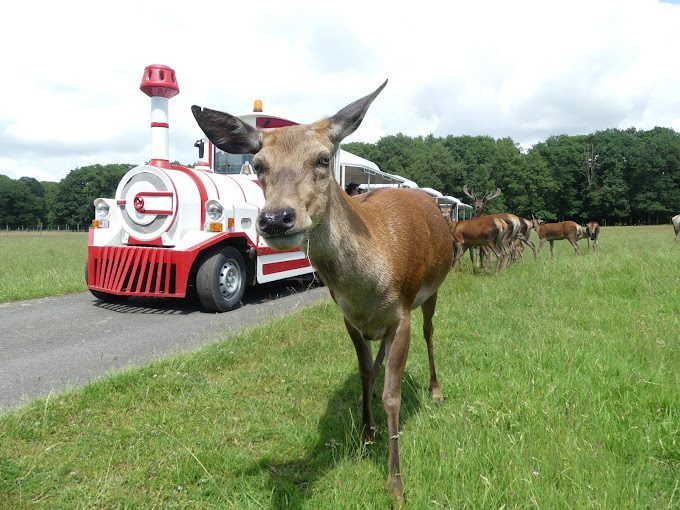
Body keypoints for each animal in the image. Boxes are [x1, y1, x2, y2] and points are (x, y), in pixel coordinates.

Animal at [190, 81, 452, 504]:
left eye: (323, 159)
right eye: (258, 165)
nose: (276, 218)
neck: (370, 284)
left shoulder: (402, 313)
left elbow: (392, 395)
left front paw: (396, 485)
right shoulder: (348, 317)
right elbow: (364, 371)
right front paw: (366, 432)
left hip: (432, 291)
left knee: (430, 333)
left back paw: (435, 389)